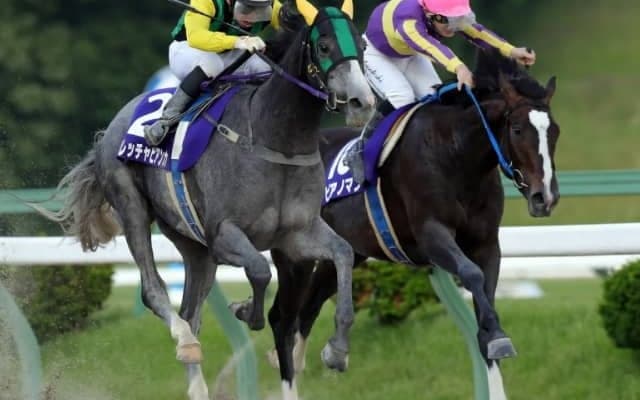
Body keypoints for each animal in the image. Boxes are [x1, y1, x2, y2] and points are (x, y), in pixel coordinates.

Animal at [39, 0, 375, 399]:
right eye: (323, 46)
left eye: (362, 45)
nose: (362, 102)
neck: (274, 138)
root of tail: (109, 129)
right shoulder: (224, 234)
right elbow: (259, 271)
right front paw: (246, 310)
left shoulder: (297, 233)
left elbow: (343, 254)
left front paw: (337, 350)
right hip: (132, 206)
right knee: (154, 291)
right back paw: (184, 341)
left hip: (193, 246)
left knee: (190, 311)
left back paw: (197, 382)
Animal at [267, 48, 560, 398]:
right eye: (516, 129)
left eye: (555, 132)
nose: (545, 197)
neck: (455, 154)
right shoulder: (432, 235)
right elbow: (471, 275)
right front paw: (499, 336)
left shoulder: (487, 244)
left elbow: (484, 316)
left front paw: (496, 341)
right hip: (292, 255)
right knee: (282, 319)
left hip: (345, 252)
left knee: (308, 308)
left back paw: (330, 353)